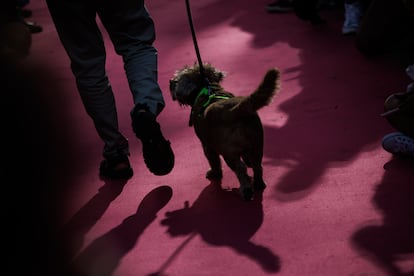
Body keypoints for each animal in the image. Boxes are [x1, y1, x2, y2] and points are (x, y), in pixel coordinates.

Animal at [169, 63, 282, 201]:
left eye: (177, 79)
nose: (170, 82)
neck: (208, 88)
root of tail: (236, 109)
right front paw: (247, 161)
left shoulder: (207, 145)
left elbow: (214, 161)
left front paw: (215, 173)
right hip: (257, 145)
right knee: (257, 166)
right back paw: (258, 183)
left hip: (228, 153)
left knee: (240, 169)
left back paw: (246, 189)